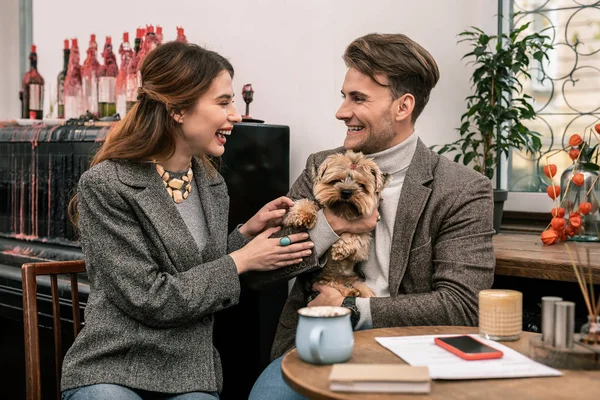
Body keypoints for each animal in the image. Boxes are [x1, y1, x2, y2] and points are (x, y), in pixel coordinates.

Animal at [284, 152, 392, 298]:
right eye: (335, 181)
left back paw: (353, 291)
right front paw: (302, 215)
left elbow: (353, 234)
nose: (346, 192)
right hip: (324, 280)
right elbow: (307, 202)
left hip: (354, 282)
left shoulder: (363, 245)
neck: (343, 211)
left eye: (361, 185)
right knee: (331, 284)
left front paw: (340, 248)